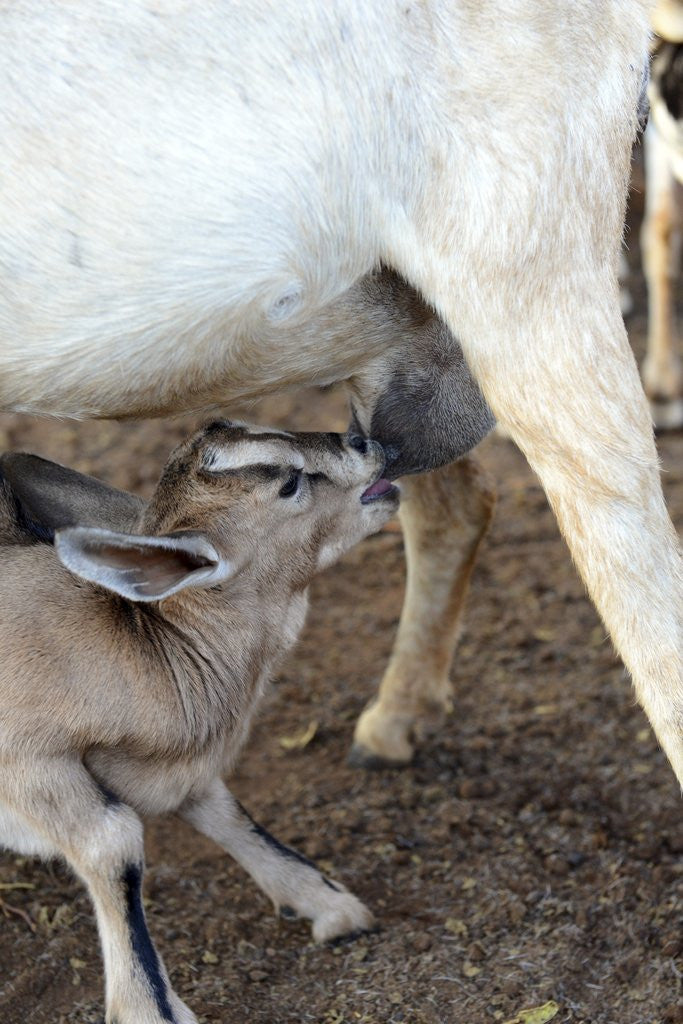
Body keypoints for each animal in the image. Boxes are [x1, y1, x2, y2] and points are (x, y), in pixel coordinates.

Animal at [0, 421, 399, 1024]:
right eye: (289, 484)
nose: (365, 442)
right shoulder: (30, 763)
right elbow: (111, 844)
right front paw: (150, 1009)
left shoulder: (176, 768)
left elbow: (223, 811)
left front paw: (327, 905)